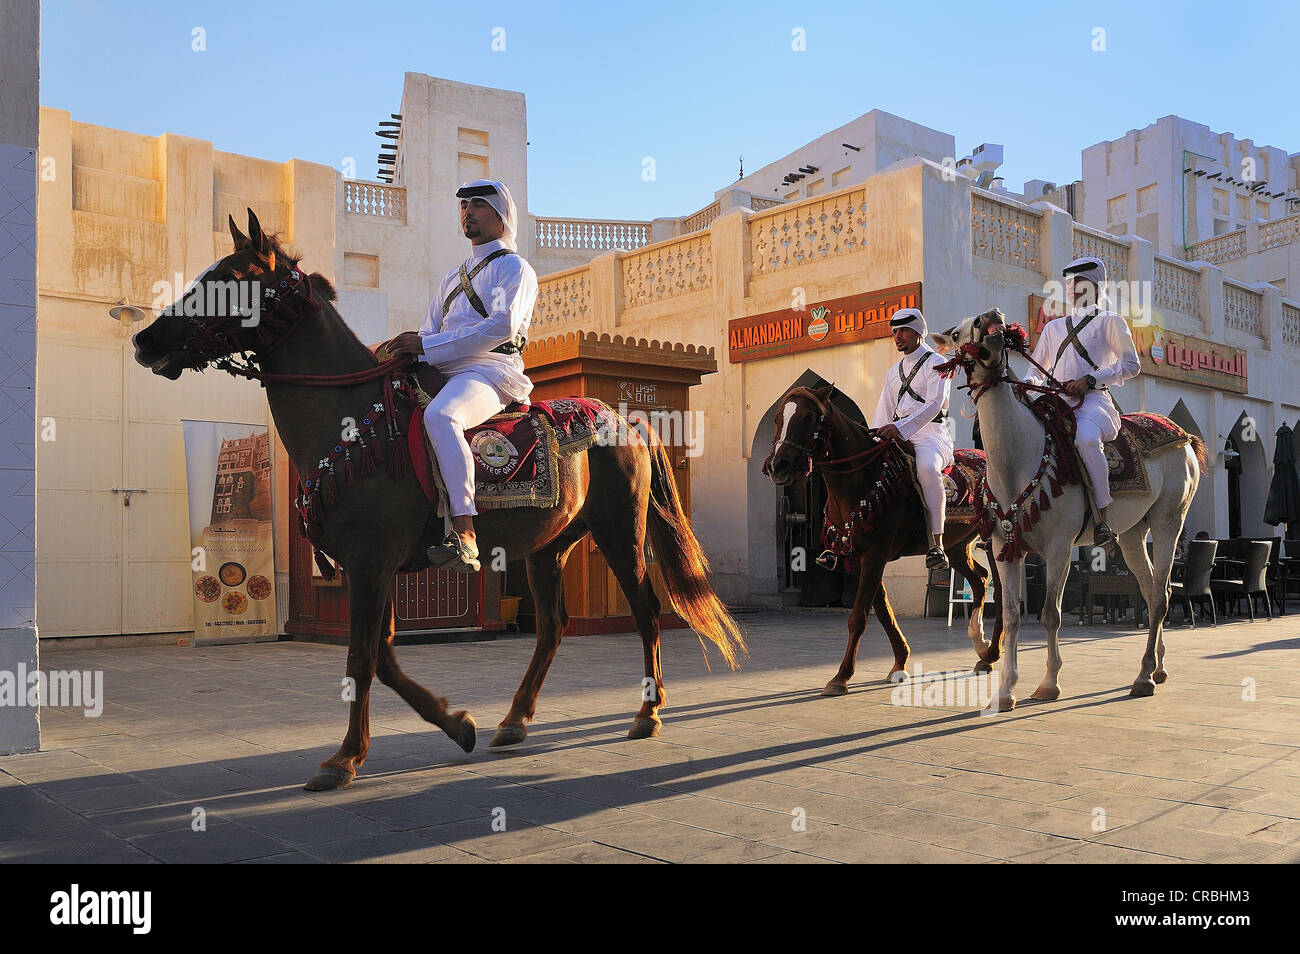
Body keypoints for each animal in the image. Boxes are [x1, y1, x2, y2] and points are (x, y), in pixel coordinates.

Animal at [133, 209, 748, 790]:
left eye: (230, 278)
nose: (146, 340)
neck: (351, 421)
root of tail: (627, 422)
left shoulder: (370, 563)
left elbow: (362, 656)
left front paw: (343, 759)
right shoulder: (370, 568)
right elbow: (382, 655)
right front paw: (457, 725)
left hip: (621, 534)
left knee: (645, 610)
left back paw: (647, 712)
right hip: (548, 548)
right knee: (552, 626)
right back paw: (514, 720)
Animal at [759, 387, 993, 696]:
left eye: (808, 417)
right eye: (777, 418)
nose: (778, 466)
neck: (862, 479)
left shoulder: (874, 555)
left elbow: (858, 616)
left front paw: (841, 677)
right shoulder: (862, 559)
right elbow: (883, 611)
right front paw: (900, 664)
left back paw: (993, 651)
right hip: (957, 547)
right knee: (980, 580)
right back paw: (983, 647)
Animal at [935, 310, 1206, 712]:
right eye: (956, 333)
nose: (991, 319)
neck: (1017, 460)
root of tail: (1182, 435)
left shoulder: (1059, 549)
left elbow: (1051, 613)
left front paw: (1049, 683)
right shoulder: (1004, 548)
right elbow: (1012, 615)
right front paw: (1006, 690)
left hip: (1169, 520)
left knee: (1159, 596)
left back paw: (1143, 677)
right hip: (1133, 533)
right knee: (1152, 588)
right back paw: (1157, 668)